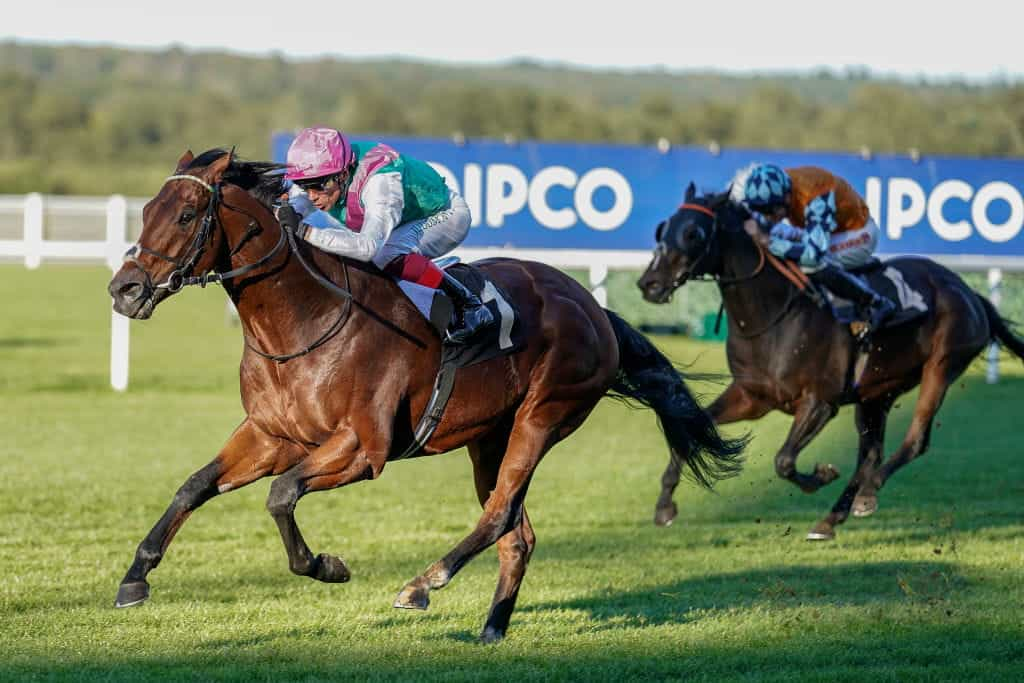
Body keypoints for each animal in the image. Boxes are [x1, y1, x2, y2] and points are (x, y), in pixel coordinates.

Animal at [105, 148, 745, 643]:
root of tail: (592, 306)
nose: (124, 289)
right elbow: (194, 486)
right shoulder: (271, 435)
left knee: (498, 514)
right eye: (146, 211)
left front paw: (326, 565)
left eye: (187, 214)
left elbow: (281, 495)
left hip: (543, 417)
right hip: (490, 437)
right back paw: (492, 627)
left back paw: (422, 584)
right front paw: (135, 577)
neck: (305, 320)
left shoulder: (363, 448)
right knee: (516, 532)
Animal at [634, 184, 1019, 540]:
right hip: (877, 393)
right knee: (870, 454)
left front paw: (820, 476)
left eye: (693, 233)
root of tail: (968, 292)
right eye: (663, 229)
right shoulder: (752, 396)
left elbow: (783, 461)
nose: (649, 284)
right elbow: (692, 429)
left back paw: (867, 493)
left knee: (914, 440)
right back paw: (832, 518)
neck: (774, 317)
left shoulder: (820, 401)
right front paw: (665, 506)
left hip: (940, 367)